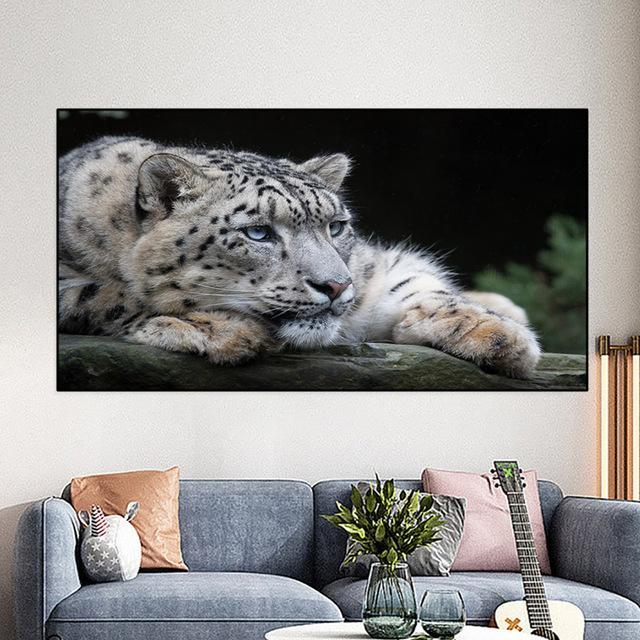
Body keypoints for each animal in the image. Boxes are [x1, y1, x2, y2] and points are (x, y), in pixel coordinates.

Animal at [58, 136, 540, 378]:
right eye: (258, 232)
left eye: (336, 226)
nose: (336, 285)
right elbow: (108, 294)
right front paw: (220, 330)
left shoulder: (370, 270)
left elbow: (415, 284)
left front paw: (498, 335)